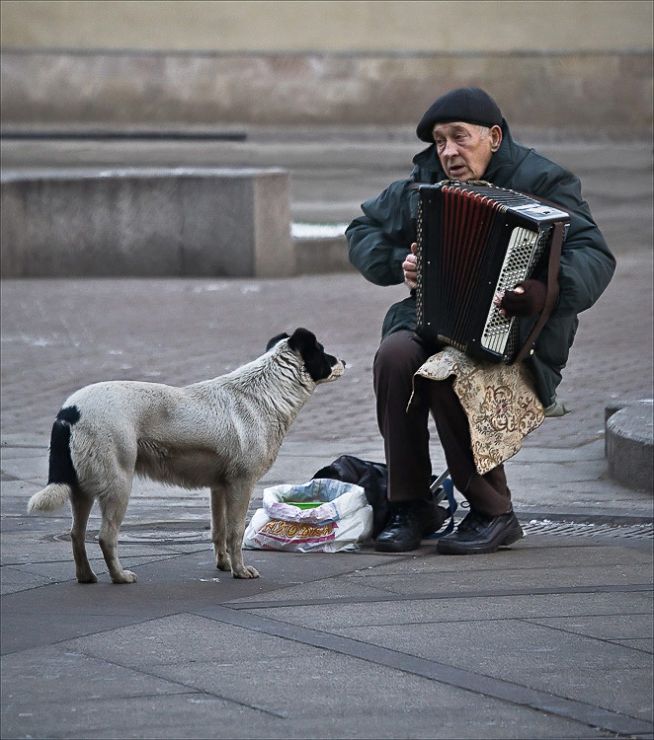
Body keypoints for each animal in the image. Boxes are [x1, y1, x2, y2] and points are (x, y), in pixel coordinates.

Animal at [28, 330, 346, 584]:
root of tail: (69, 411)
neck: (265, 392)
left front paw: (224, 565)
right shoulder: (242, 485)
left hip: (82, 489)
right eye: (321, 350)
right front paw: (240, 571)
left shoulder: (220, 487)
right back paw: (120, 577)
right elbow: (235, 533)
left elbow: (219, 531)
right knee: (105, 537)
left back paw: (86, 577)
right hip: (118, 485)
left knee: (76, 534)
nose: (344, 362)